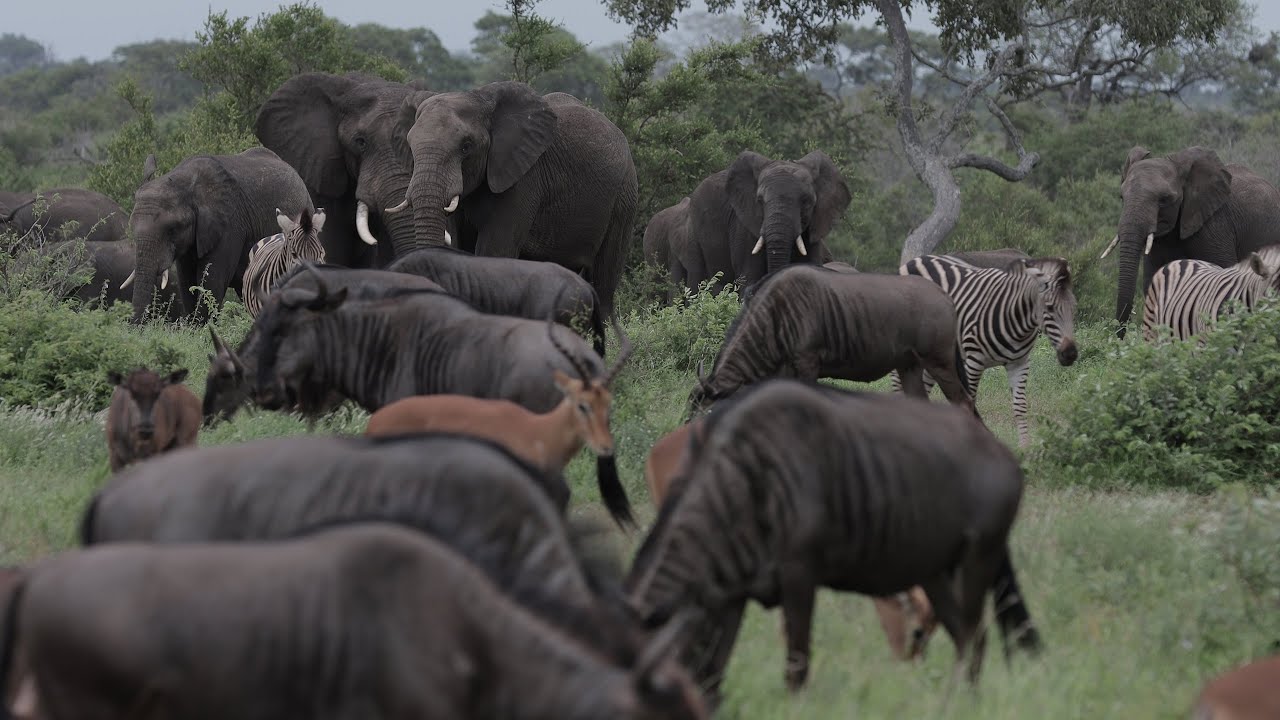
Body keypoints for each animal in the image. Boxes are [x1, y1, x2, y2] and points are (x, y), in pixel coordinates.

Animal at [397, 81, 638, 314]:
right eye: (410, 146)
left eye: (466, 147)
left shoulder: (523, 179)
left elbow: (493, 252)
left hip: (624, 196)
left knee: (604, 280)